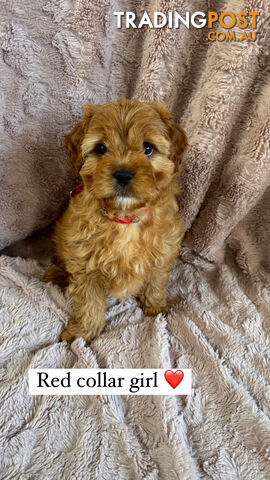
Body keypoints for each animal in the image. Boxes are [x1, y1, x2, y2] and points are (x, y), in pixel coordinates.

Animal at [43, 99, 188, 344]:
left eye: (148, 148)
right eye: (101, 149)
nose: (123, 174)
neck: (125, 218)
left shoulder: (163, 252)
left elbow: (155, 284)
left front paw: (155, 308)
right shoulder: (84, 263)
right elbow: (89, 304)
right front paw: (81, 333)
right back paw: (57, 274)